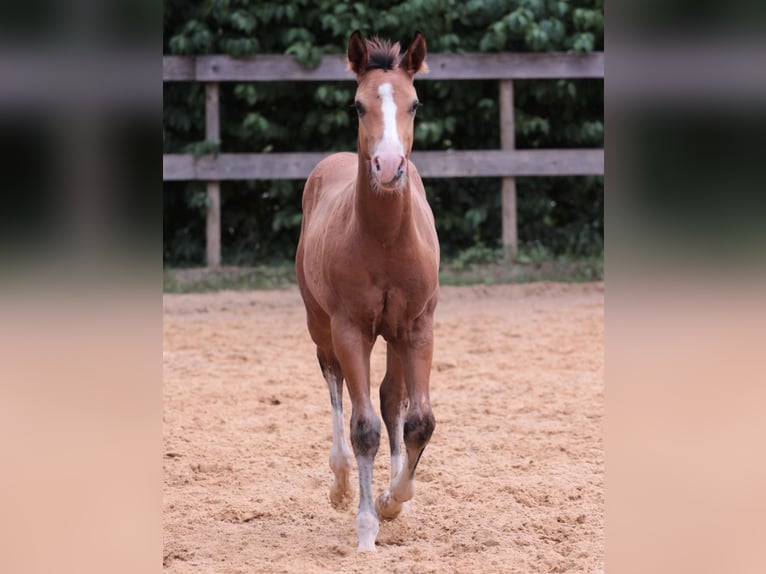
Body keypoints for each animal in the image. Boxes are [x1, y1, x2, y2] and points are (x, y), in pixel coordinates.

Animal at [295, 30, 439, 552]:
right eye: (358, 105)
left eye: (415, 103)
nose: (389, 165)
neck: (383, 240)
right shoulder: (351, 330)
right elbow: (363, 429)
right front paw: (365, 525)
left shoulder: (416, 328)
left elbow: (417, 419)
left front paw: (393, 500)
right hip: (320, 325)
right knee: (333, 381)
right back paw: (339, 482)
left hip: (393, 336)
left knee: (392, 397)